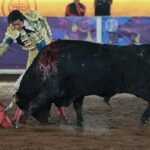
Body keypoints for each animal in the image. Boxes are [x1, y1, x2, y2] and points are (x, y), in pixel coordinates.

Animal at [15, 39, 150, 125]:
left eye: (22, 103)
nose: (45, 120)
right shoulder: (77, 93)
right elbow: (78, 108)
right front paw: (79, 124)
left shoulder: (51, 90)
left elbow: (34, 103)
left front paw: (19, 121)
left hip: (143, 88)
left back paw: (143, 120)